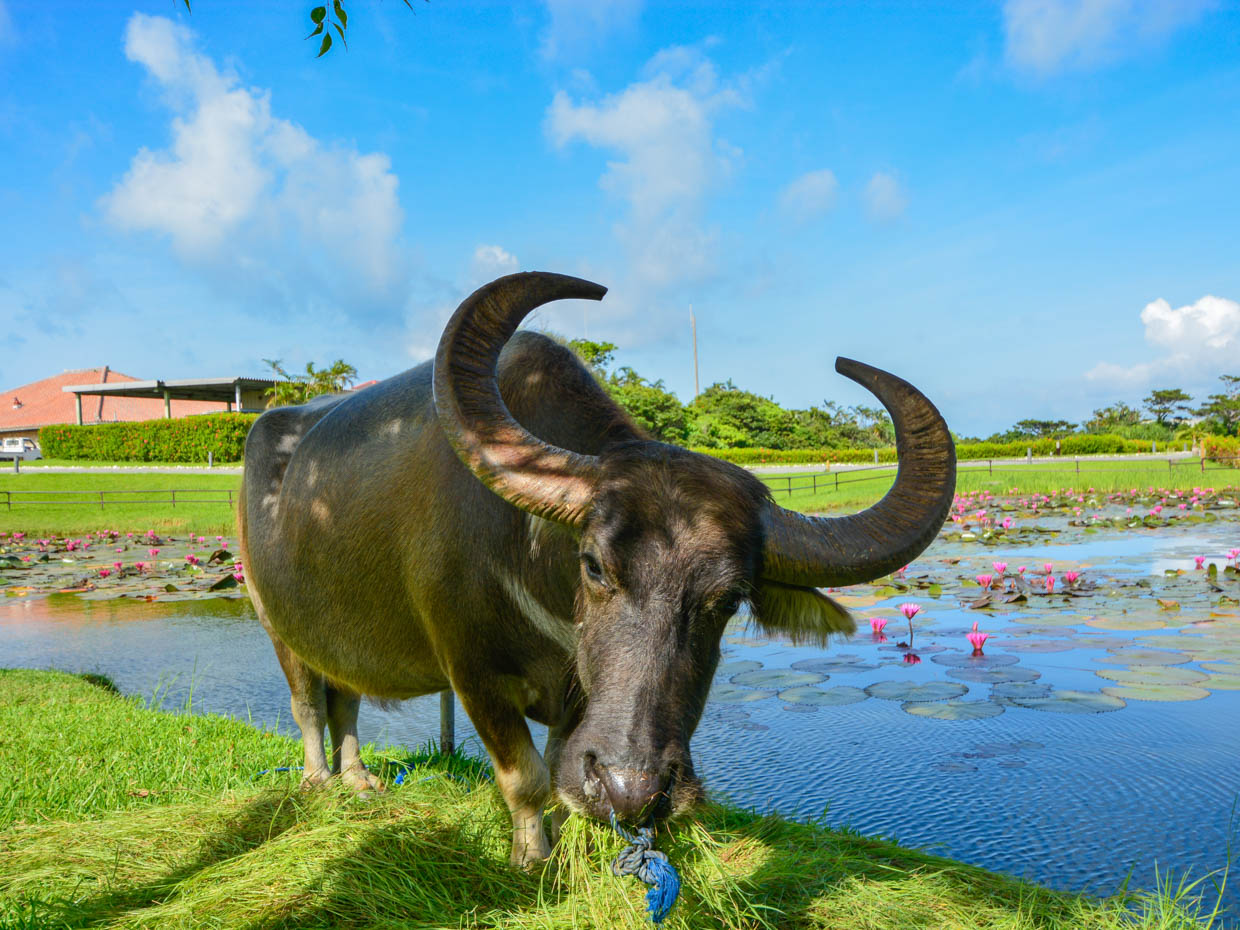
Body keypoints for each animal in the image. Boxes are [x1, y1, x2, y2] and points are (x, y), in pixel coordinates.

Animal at [241, 272, 957, 872]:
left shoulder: (580, 702)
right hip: (274, 623)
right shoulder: (471, 671)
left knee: (347, 697)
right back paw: (319, 781)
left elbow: (560, 768)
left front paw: (567, 841)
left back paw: (360, 779)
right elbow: (525, 776)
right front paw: (532, 860)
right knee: (309, 704)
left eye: (729, 600)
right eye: (594, 566)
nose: (631, 791)